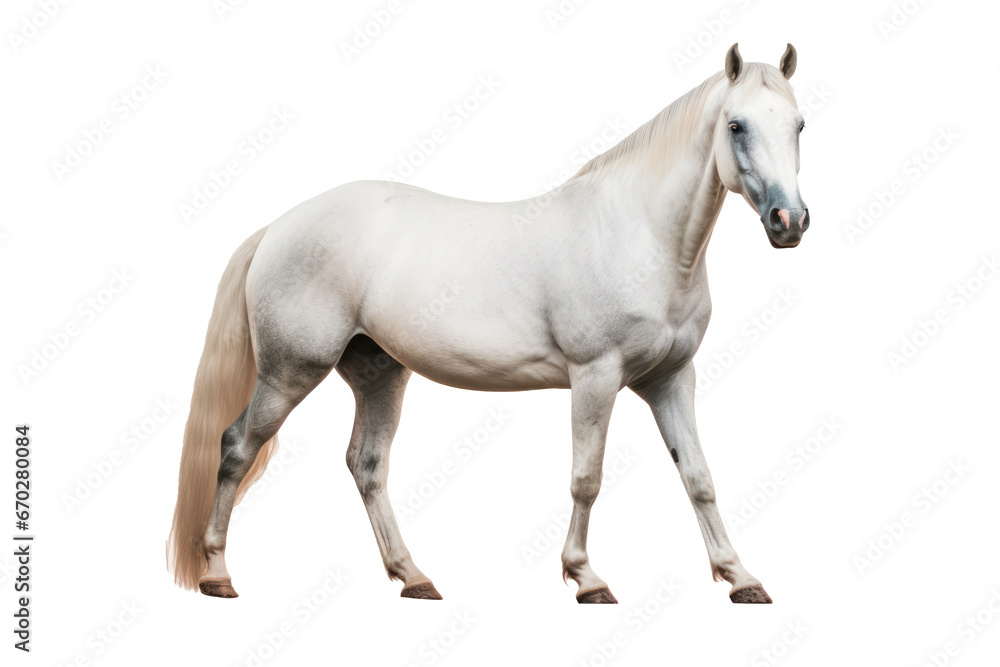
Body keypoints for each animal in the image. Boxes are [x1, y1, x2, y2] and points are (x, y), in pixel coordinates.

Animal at [168, 42, 809, 605]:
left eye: (799, 124)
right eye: (736, 125)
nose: (790, 221)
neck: (639, 235)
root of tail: (278, 226)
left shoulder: (671, 379)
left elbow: (699, 477)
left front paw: (741, 577)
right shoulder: (595, 377)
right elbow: (587, 477)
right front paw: (587, 579)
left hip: (379, 374)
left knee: (366, 465)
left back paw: (414, 577)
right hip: (291, 372)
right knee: (236, 446)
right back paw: (218, 575)